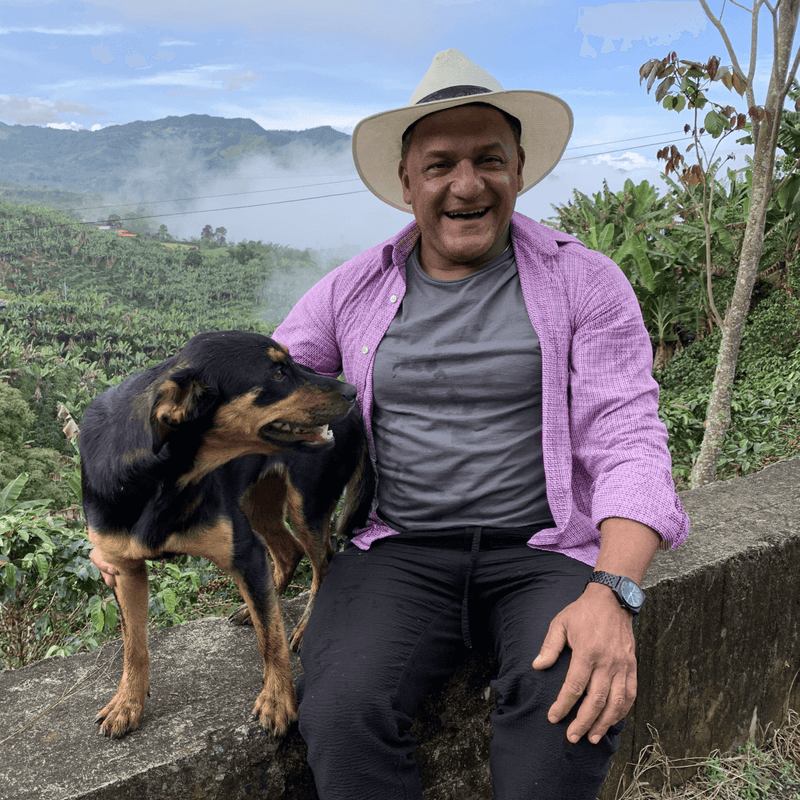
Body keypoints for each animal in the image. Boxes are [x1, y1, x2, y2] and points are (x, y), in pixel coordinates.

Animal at [79, 330, 374, 736]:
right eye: (277, 373)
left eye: (291, 363)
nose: (352, 391)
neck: (157, 475)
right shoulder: (124, 569)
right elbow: (134, 646)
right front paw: (128, 703)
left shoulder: (244, 552)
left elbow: (271, 639)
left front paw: (277, 699)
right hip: (255, 503)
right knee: (288, 555)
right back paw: (255, 607)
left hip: (306, 505)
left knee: (323, 561)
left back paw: (302, 623)